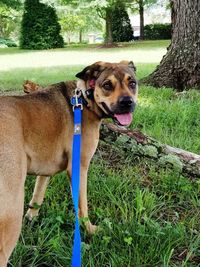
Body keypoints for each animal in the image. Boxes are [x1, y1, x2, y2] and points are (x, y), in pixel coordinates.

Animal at [0, 61, 138, 266]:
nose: (127, 102)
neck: (84, 100)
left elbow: (37, 196)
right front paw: (90, 230)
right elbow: (82, 206)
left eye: (132, 83)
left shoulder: (45, 168)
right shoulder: (79, 168)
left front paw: (32, 218)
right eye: (107, 85)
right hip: (11, 212)